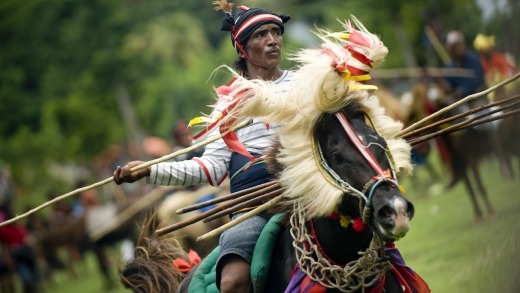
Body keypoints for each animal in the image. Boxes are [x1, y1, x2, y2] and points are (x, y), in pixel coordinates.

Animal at [119, 17, 430, 290]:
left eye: (380, 143)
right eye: (337, 156)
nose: (395, 211)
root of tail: (184, 273)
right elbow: (211, 164)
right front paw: (136, 171)